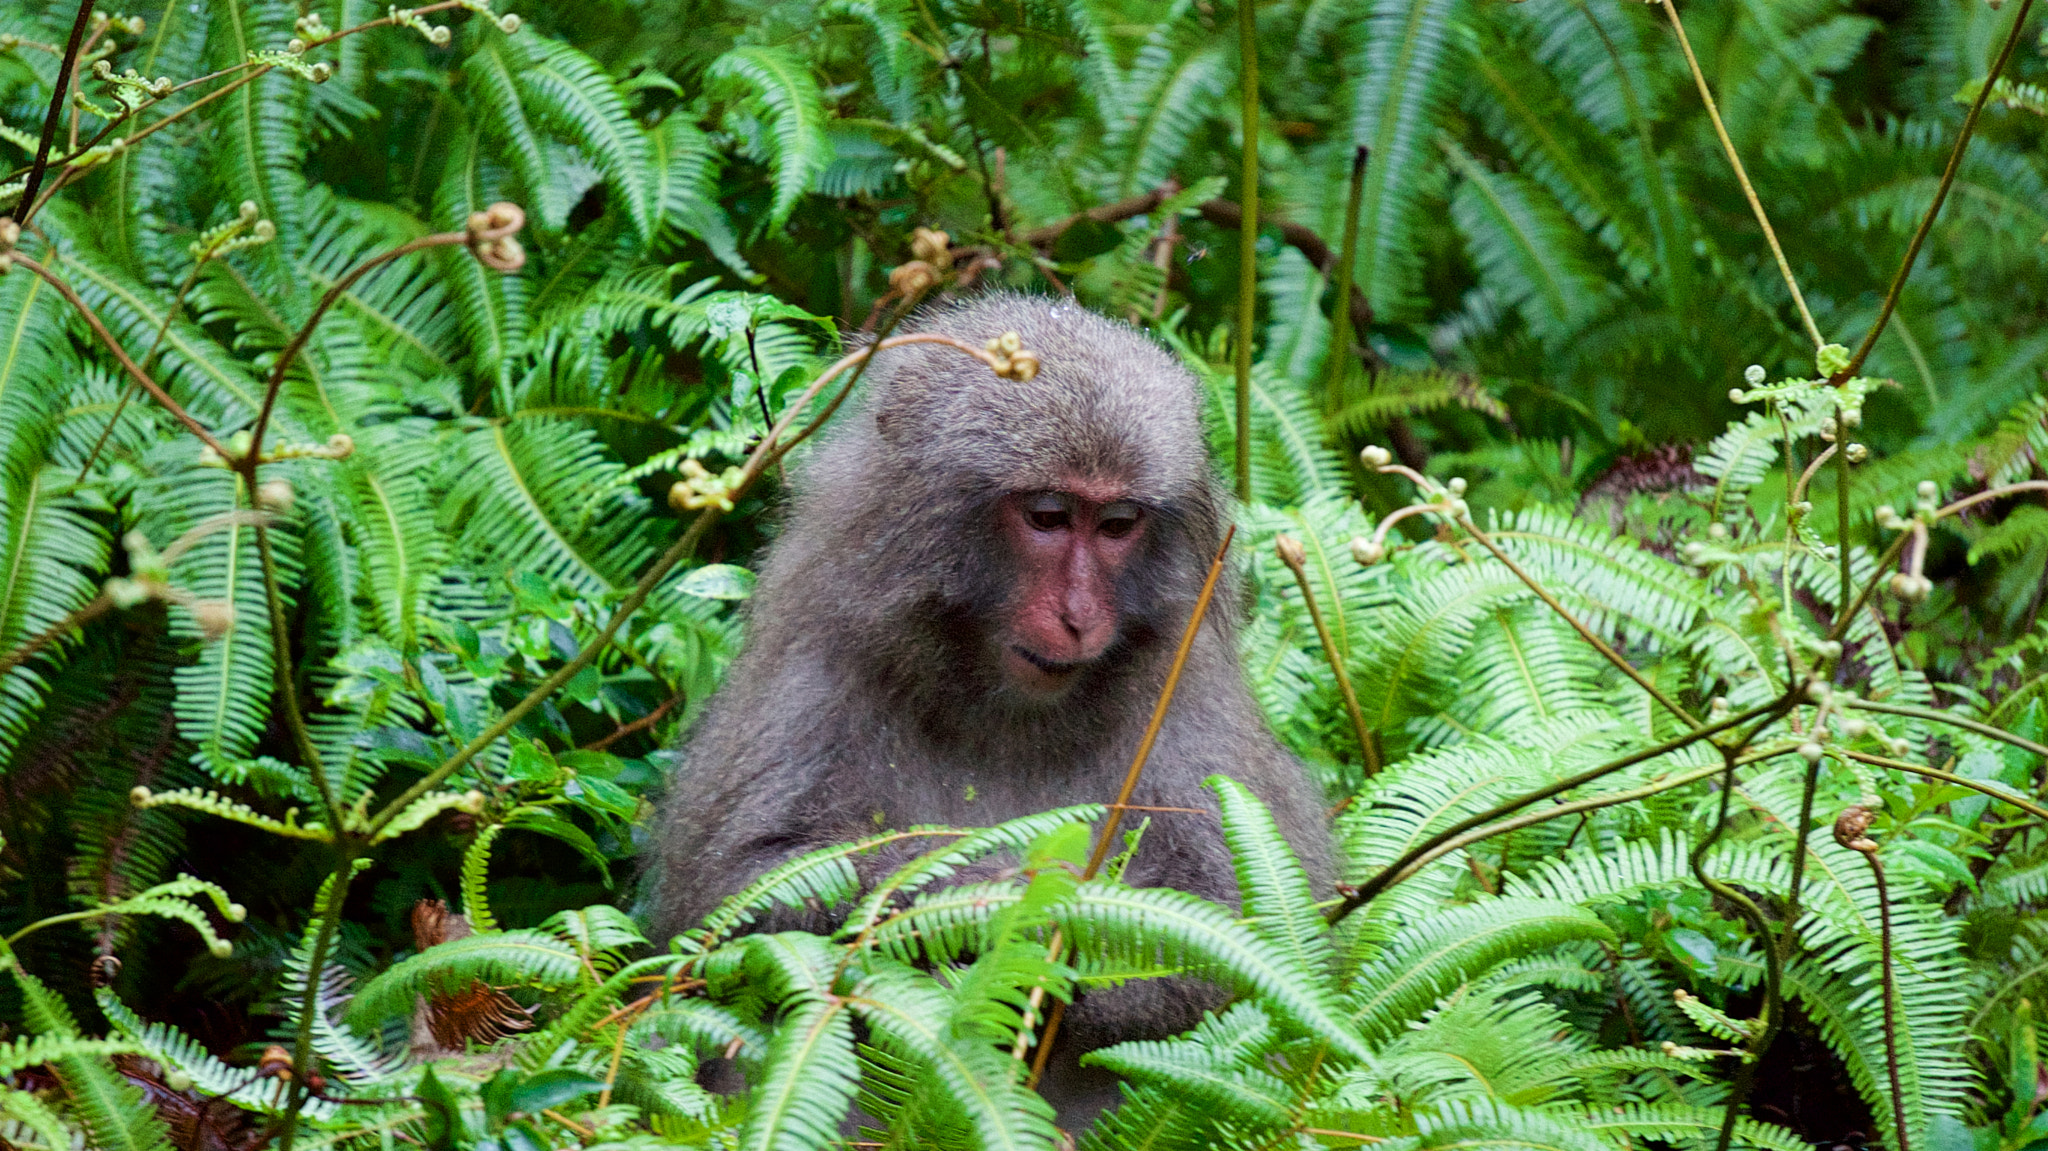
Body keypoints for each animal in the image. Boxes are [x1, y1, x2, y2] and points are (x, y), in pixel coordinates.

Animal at [646, 292, 1332, 1117]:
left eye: (1117, 525)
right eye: (1047, 515)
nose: (1078, 615)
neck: (1004, 710)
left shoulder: (1187, 697)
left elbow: (1251, 934)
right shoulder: (813, 664)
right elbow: (736, 897)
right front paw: (997, 893)